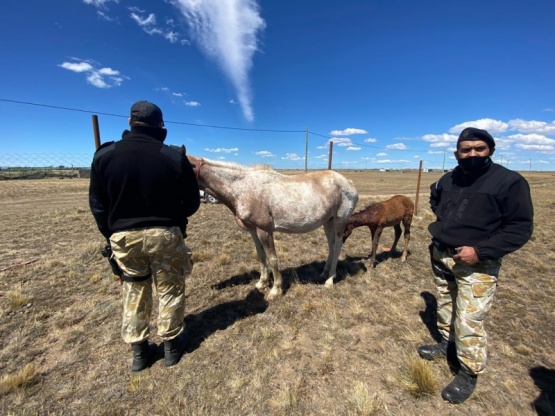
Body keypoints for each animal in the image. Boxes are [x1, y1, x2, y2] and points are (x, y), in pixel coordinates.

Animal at [188, 155, 360, 300]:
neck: (243, 188)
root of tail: (349, 183)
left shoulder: (265, 230)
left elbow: (272, 258)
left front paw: (275, 290)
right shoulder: (253, 230)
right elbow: (261, 255)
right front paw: (262, 283)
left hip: (339, 222)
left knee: (337, 246)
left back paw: (330, 280)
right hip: (327, 222)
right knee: (331, 245)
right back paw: (324, 273)